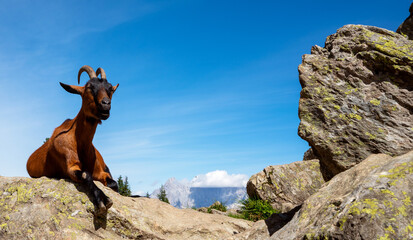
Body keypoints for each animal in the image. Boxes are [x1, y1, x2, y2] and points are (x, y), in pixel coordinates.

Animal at [27, 65, 119, 214]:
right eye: (89, 87)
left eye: (110, 88)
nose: (106, 105)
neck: (81, 143)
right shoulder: (70, 165)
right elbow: (86, 174)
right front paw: (102, 199)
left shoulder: (101, 172)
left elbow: (114, 184)